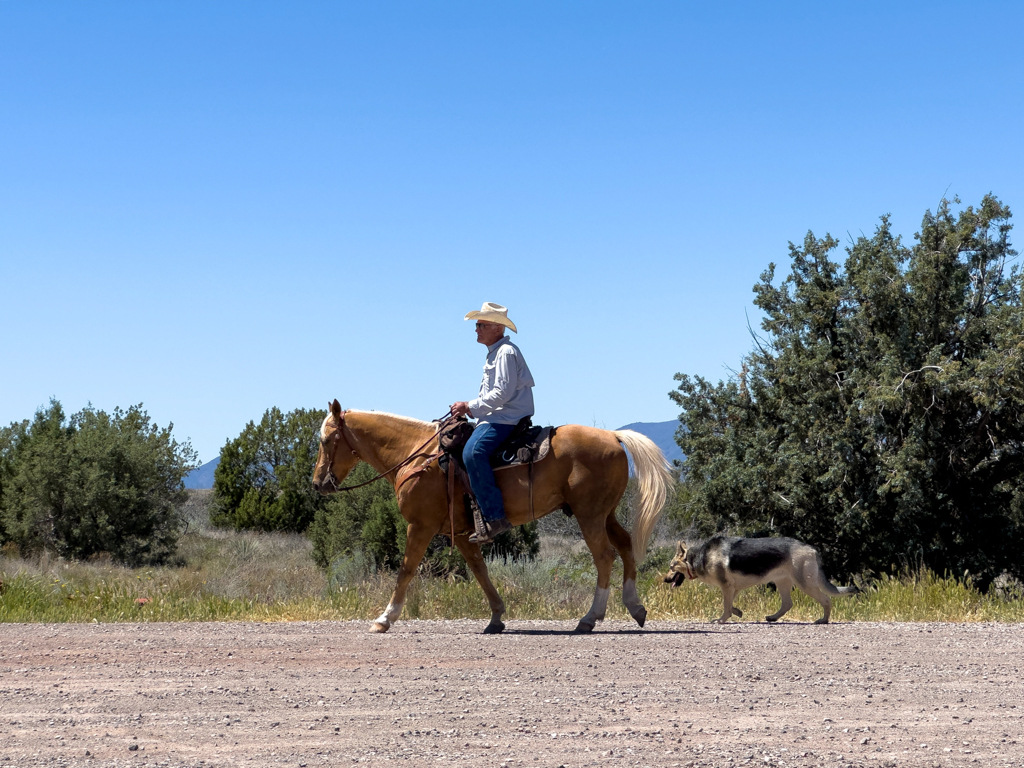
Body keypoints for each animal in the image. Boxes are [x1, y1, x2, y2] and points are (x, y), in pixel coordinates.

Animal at [315, 399, 675, 634]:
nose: (319, 483)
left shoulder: (420, 526)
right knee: (626, 547)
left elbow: (405, 570)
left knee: (604, 556)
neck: (417, 456)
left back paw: (589, 618)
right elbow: (480, 570)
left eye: (327, 439)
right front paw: (496, 618)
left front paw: (384, 619)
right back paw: (635, 608)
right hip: (605, 513)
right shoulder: (462, 533)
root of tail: (614, 436)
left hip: (589, 515)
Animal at [667, 536, 860, 626]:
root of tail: (812, 549)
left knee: (826, 599)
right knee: (787, 604)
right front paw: (737, 612)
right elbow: (730, 605)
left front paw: (722, 620)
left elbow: (726, 606)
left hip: (805, 584)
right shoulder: (733, 588)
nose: (664, 579)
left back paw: (824, 620)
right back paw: (773, 617)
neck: (698, 557)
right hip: (783, 582)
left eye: (671, 567)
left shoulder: (727, 587)